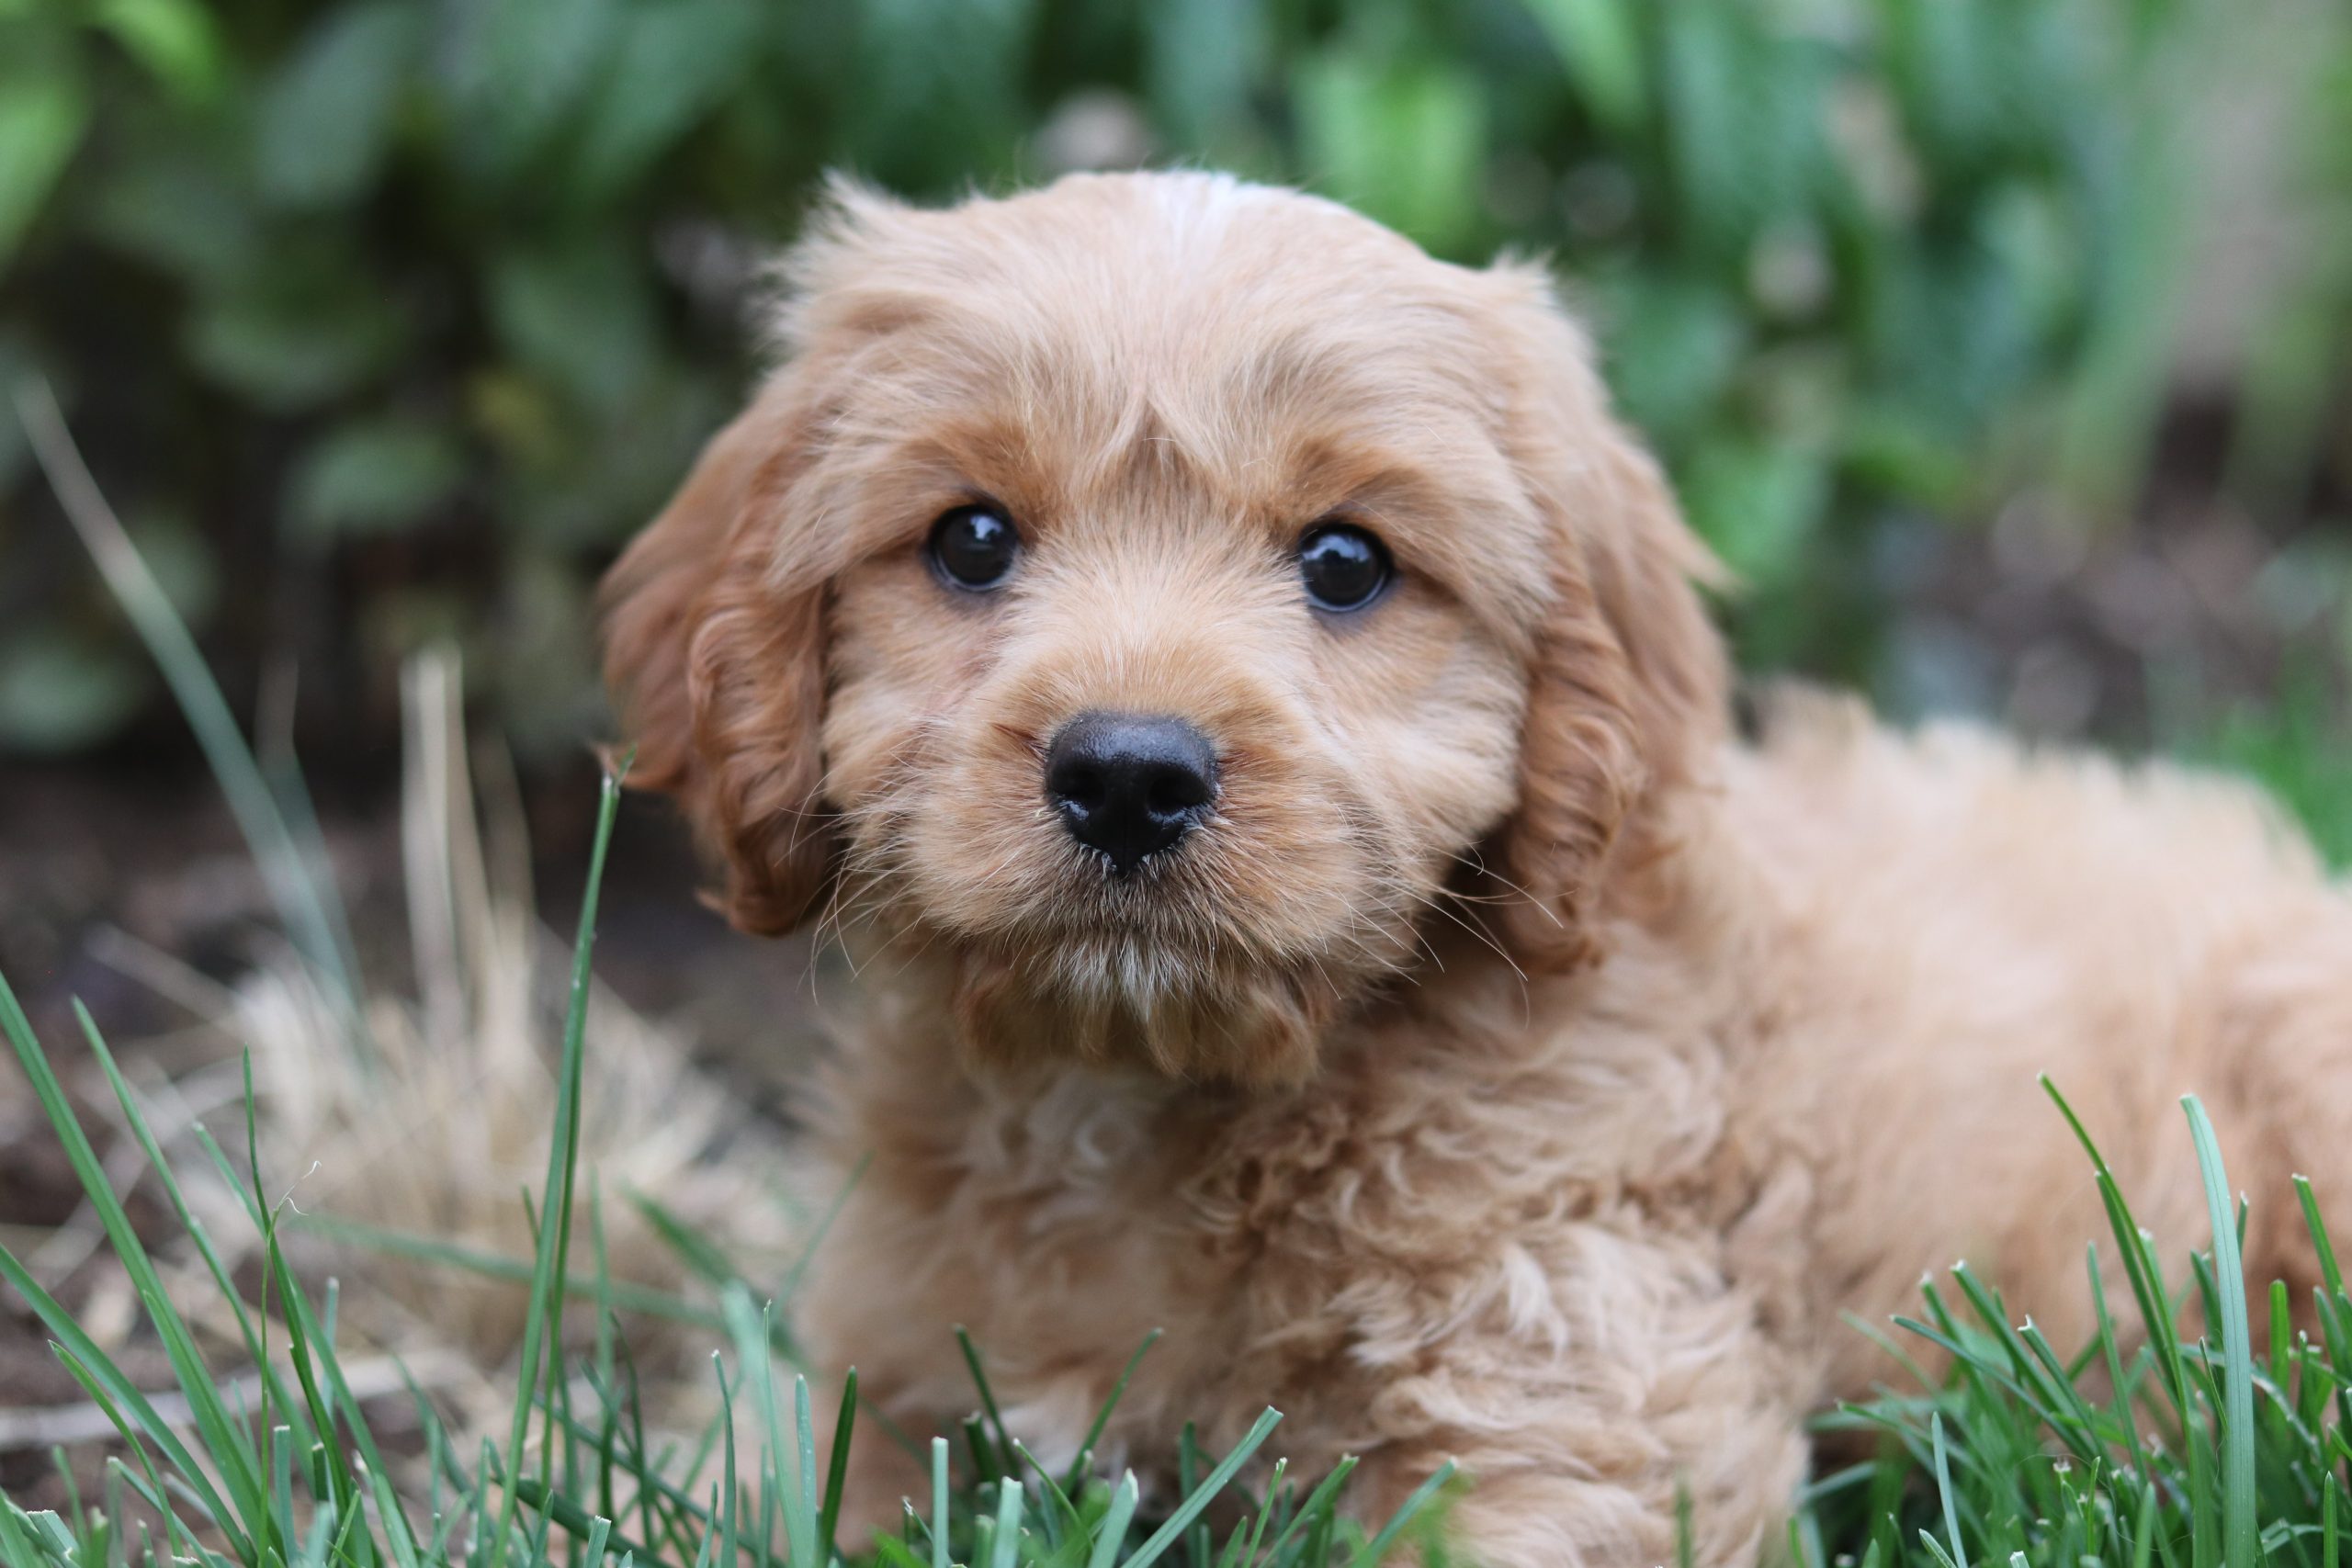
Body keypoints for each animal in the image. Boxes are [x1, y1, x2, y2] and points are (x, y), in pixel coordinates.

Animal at [602, 169, 2352, 1568]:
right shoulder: (865, 1371)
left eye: (1346, 562)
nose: (1129, 774)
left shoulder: (1576, 1376)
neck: (1157, 1095)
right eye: (969, 540)